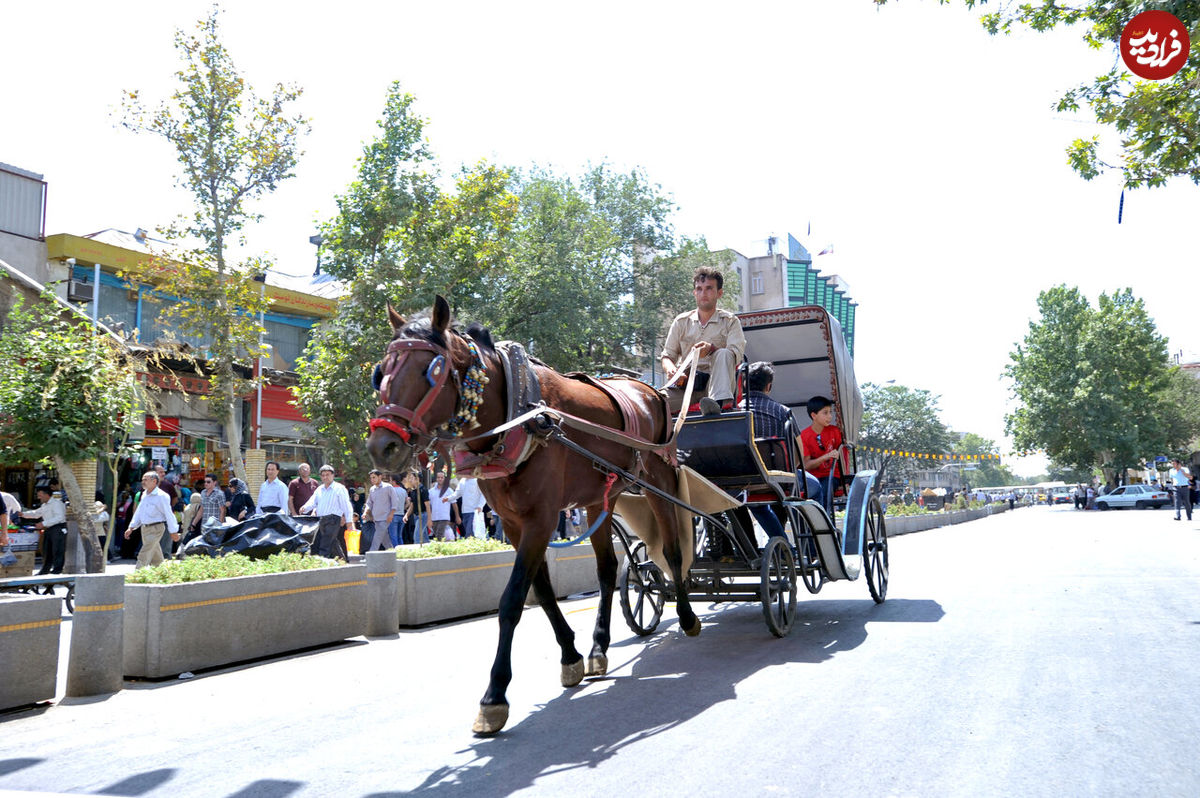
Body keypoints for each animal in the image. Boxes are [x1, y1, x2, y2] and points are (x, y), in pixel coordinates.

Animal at [362, 297, 696, 734]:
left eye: (430, 371)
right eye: (380, 371)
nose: (382, 446)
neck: (517, 415)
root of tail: (650, 390)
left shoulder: (541, 517)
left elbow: (512, 600)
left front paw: (494, 696)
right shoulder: (513, 522)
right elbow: (542, 590)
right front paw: (571, 657)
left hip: (658, 479)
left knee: (672, 549)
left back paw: (687, 616)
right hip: (600, 499)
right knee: (608, 569)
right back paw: (599, 646)